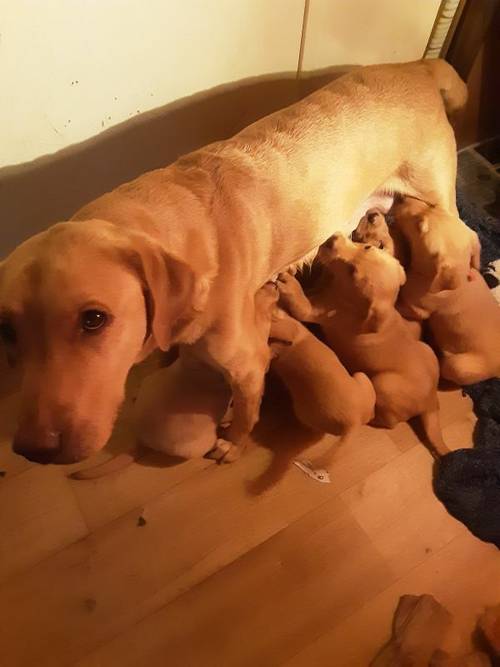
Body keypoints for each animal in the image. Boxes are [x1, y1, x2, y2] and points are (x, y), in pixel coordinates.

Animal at [278, 235, 450, 460]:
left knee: (390, 422)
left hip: (383, 385)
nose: (332, 239)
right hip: (427, 351)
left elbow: (301, 304)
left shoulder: (317, 312)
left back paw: (374, 419)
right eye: (368, 247)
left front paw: (289, 284)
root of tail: (431, 401)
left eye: (352, 271)